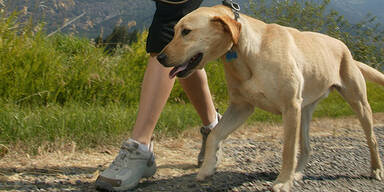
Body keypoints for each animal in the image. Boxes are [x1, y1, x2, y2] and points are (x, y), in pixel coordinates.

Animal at [156, 5, 384, 191]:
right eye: (174, 31)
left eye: (186, 32)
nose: (160, 57)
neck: (246, 51)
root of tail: (344, 47)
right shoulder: (241, 107)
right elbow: (214, 135)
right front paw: (207, 168)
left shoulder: (290, 107)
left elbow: (288, 150)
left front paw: (283, 182)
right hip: (305, 111)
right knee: (307, 147)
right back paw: (298, 174)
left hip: (358, 104)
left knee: (372, 139)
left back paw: (376, 170)